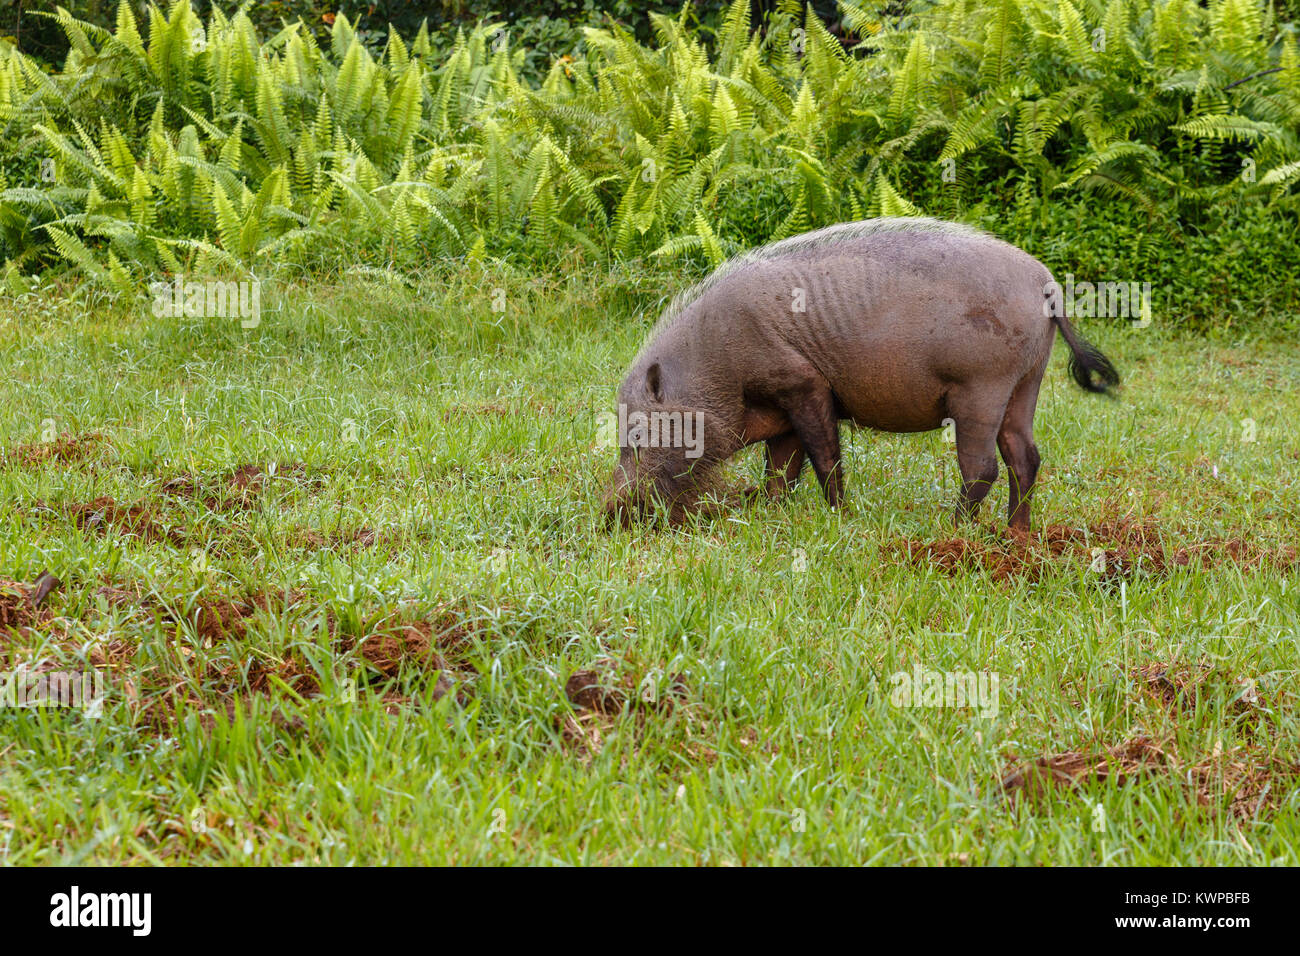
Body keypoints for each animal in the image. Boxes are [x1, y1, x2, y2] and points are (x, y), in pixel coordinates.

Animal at [603, 217, 1119, 531]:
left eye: (637, 436)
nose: (609, 510)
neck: (716, 368)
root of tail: (1046, 283)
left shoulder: (805, 383)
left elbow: (824, 457)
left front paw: (839, 517)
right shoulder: (782, 412)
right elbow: (780, 470)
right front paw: (769, 514)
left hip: (981, 389)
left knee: (983, 467)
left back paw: (952, 530)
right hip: (1026, 383)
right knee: (1025, 457)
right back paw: (1017, 536)